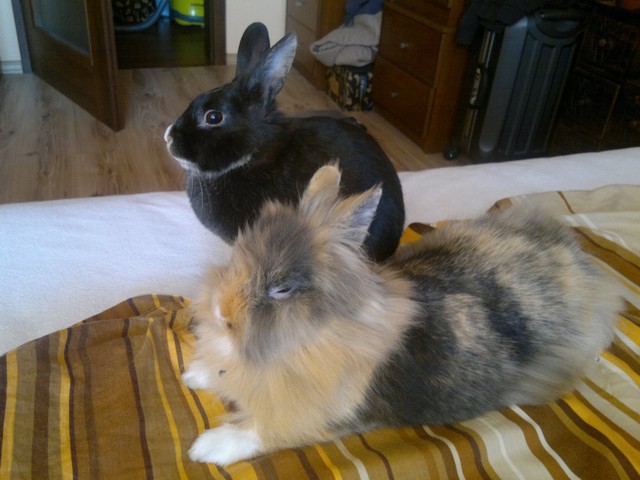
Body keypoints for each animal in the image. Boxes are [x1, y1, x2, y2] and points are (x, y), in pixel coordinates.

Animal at [182, 164, 622, 466]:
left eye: (283, 289)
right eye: (238, 256)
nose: (220, 310)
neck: (314, 337)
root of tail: (581, 263)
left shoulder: (314, 416)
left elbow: (264, 431)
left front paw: (207, 447)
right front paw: (195, 374)